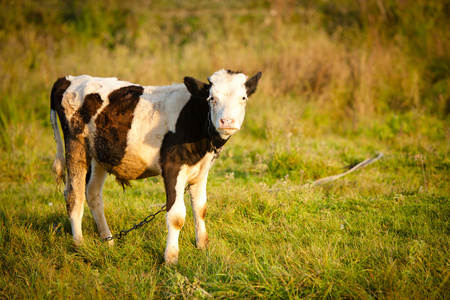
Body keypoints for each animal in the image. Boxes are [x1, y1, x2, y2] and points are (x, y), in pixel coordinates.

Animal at [49, 69, 262, 264]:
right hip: (75, 145)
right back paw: (79, 245)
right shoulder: (172, 168)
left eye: (243, 97)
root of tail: (68, 79)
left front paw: (203, 247)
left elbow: (200, 209)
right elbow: (176, 216)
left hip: (99, 155)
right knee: (74, 196)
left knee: (92, 193)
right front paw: (171, 258)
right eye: (211, 98)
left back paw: (108, 241)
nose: (227, 122)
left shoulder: (201, 171)